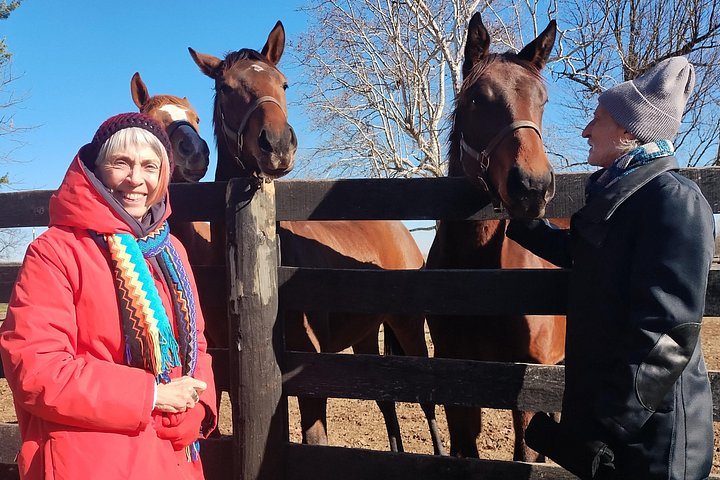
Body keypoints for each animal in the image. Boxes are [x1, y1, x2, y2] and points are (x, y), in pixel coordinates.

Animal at [188, 20, 446, 455]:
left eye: (283, 83)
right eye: (226, 87)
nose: (276, 144)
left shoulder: (309, 379)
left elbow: (315, 439)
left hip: (409, 327)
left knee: (427, 401)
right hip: (367, 334)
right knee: (387, 402)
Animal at [425, 13, 564, 461]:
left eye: (543, 100)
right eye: (477, 99)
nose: (532, 188)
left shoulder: (528, 384)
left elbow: (524, 456)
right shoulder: (457, 377)